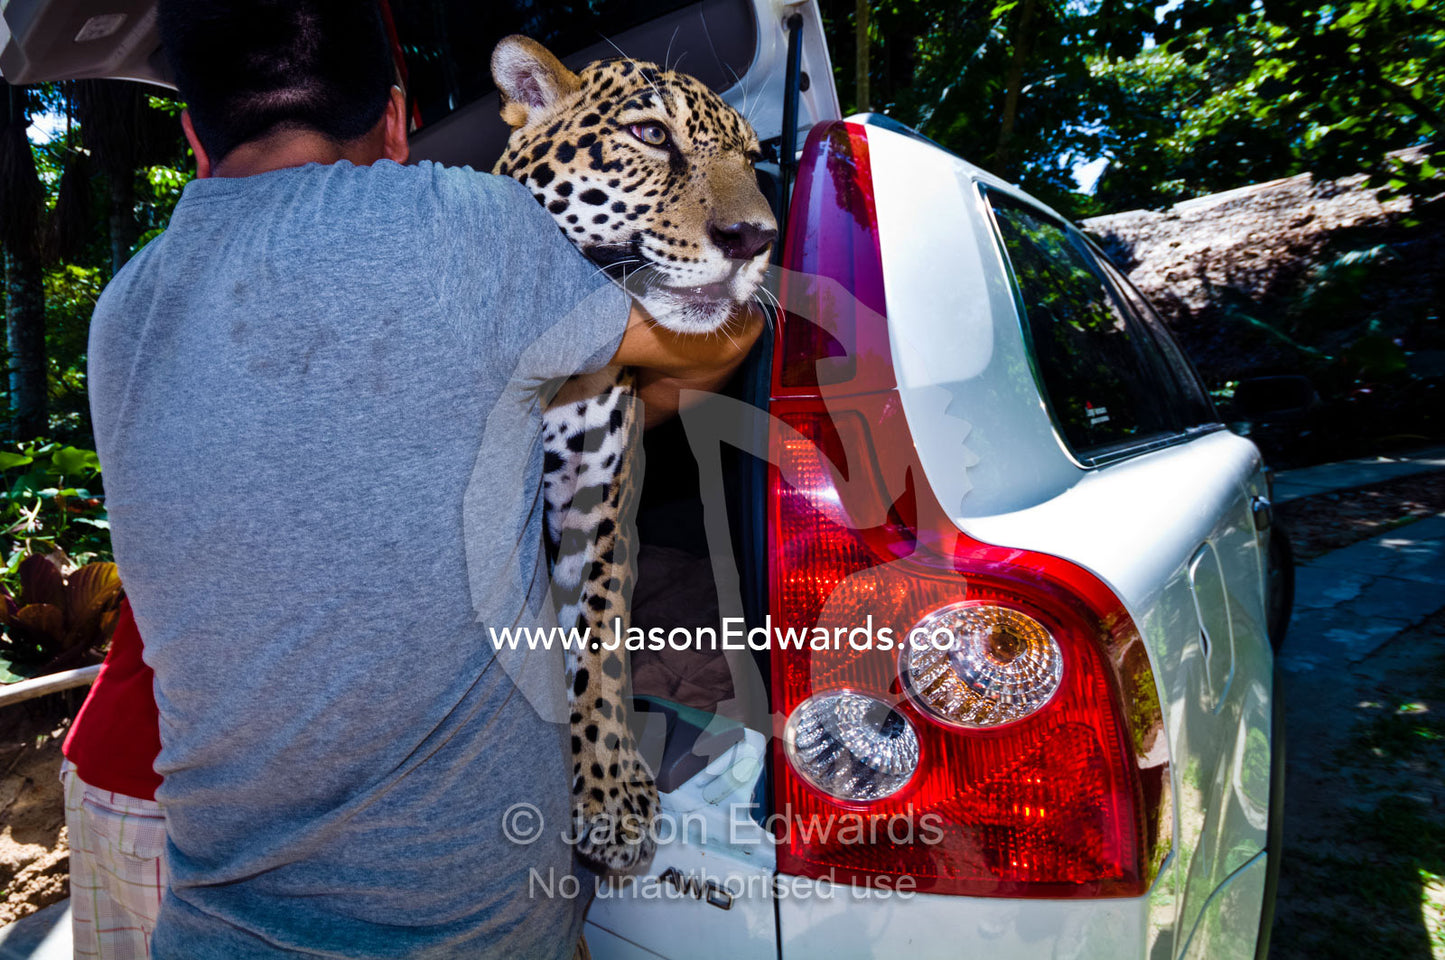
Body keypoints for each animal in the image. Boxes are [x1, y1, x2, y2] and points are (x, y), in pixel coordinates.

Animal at [489, 36, 776, 873]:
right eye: (650, 135)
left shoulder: (597, 502)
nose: (756, 239)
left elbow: (598, 641)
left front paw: (609, 790)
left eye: (753, 160)